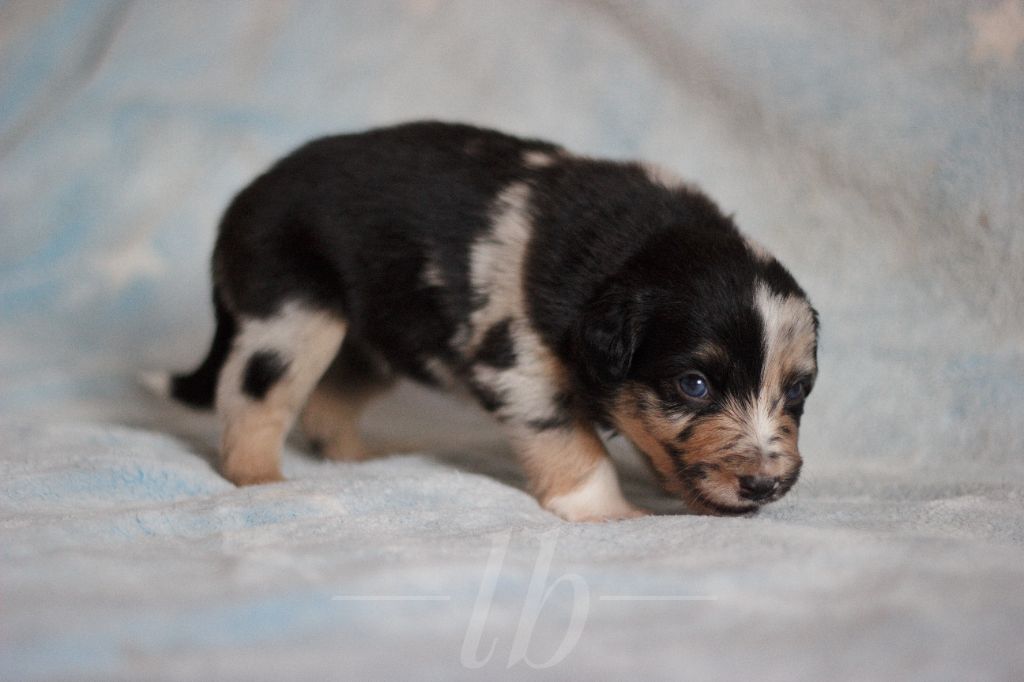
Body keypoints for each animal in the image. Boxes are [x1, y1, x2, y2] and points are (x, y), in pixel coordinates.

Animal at [156, 121, 819, 521]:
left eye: (796, 391)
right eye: (694, 385)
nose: (764, 486)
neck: (631, 249)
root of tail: (238, 205)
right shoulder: (520, 367)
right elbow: (573, 445)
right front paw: (607, 514)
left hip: (370, 339)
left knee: (329, 401)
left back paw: (357, 460)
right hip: (296, 316)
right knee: (251, 399)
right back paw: (263, 482)